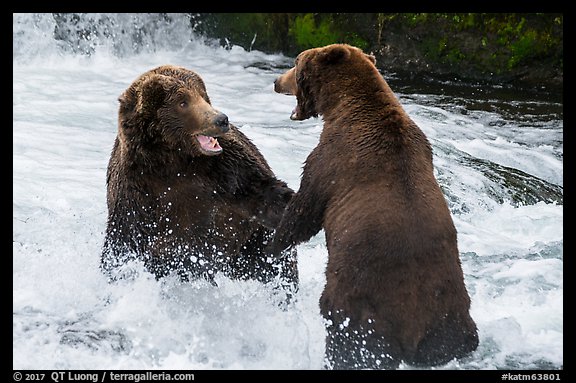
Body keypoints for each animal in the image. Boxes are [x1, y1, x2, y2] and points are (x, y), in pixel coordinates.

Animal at [103, 63, 300, 296]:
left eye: (203, 96)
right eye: (182, 102)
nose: (221, 119)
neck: (172, 160)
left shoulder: (225, 171)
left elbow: (262, 193)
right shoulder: (136, 190)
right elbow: (125, 245)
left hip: (256, 243)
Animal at [272, 44, 480, 368]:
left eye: (296, 62)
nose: (276, 81)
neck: (343, 106)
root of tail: (412, 329)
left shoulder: (333, 159)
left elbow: (305, 211)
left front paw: (274, 241)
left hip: (360, 304)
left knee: (347, 339)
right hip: (449, 313)